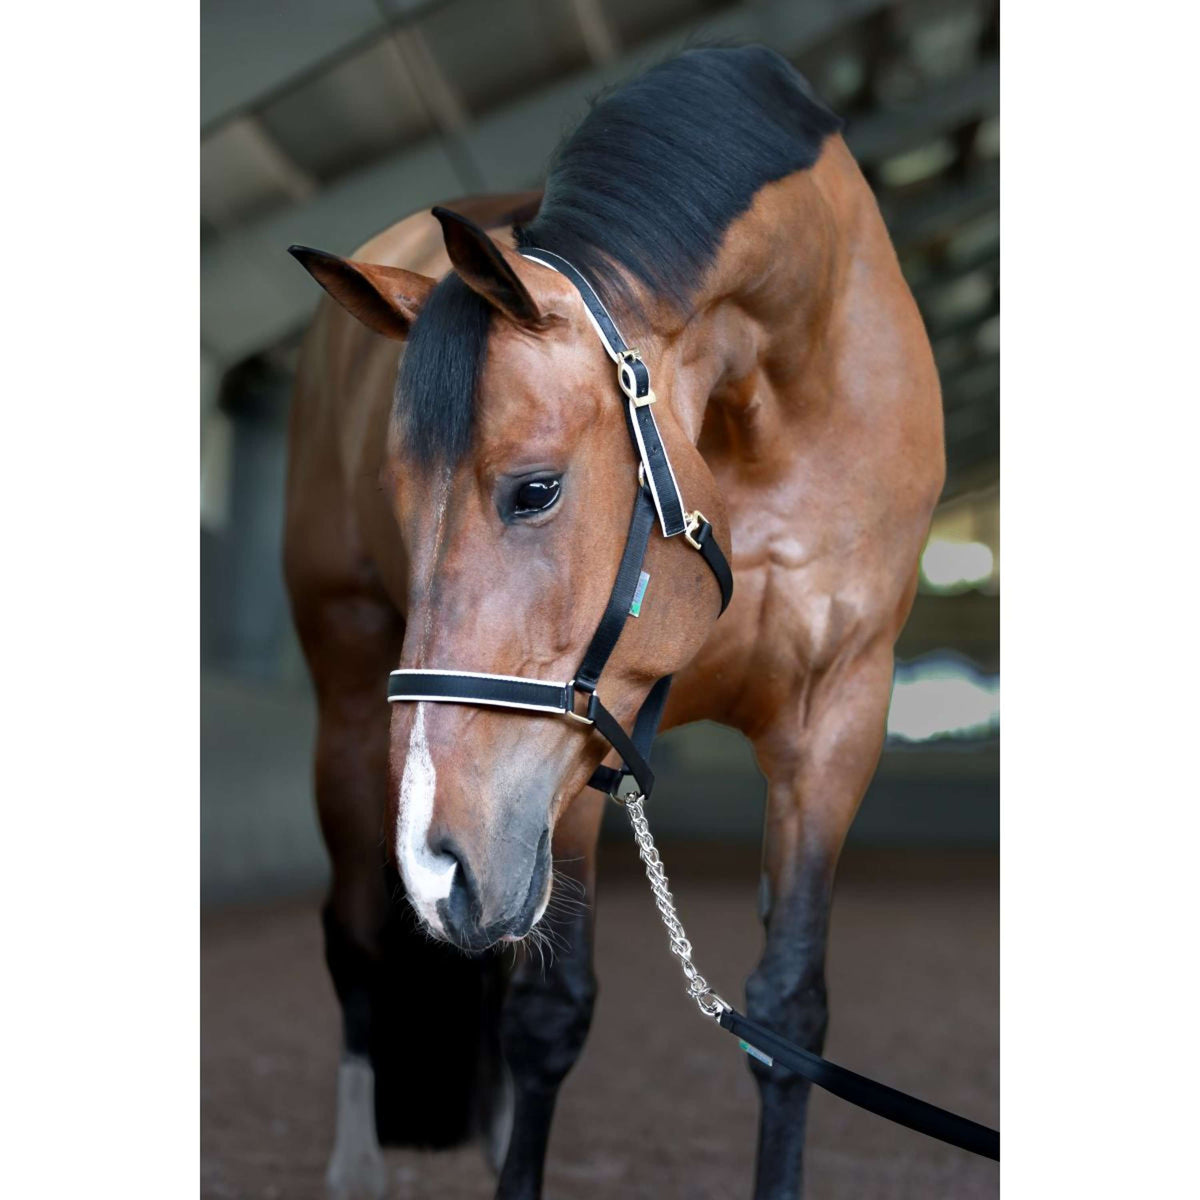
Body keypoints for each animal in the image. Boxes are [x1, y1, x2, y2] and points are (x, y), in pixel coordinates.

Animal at [284, 45, 943, 1200]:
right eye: (400, 503)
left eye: (536, 490)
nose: (436, 864)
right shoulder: (583, 738)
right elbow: (551, 1017)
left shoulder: (838, 719)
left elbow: (787, 1015)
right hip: (355, 715)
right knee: (358, 936)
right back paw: (359, 1160)